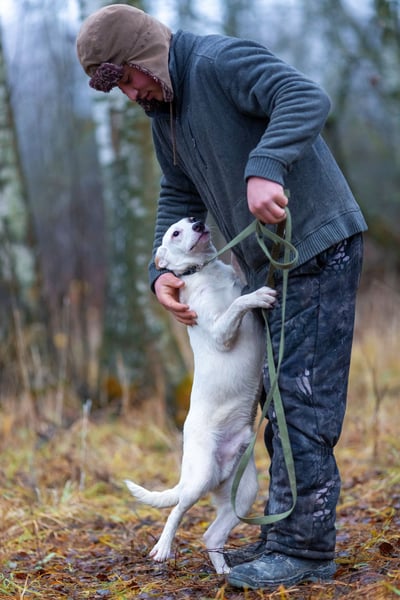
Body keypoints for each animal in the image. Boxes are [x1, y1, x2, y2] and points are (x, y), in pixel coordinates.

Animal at [125, 217, 276, 574]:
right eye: (176, 232)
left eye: (190, 220)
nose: (196, 222)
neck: (204, 271)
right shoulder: (221, 331)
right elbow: (239, 303)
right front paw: (258, 295)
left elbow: (239, 284)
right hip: (200, 478)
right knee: (177, 509)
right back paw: (163, 547)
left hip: (243, 492)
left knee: (211, 535)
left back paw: (225, 573)